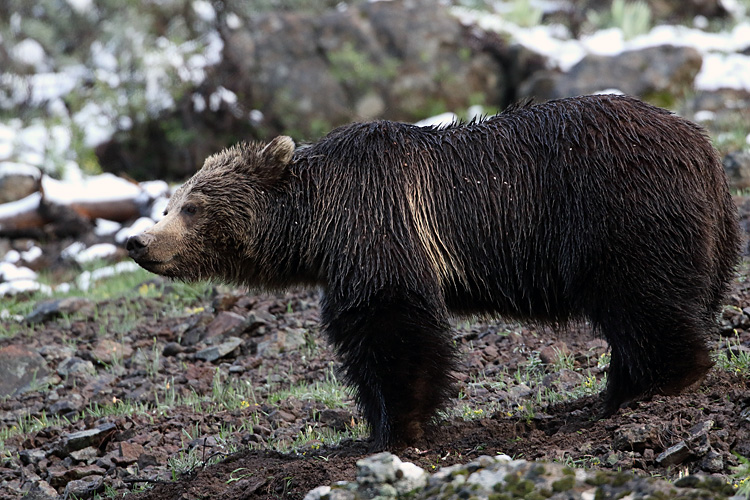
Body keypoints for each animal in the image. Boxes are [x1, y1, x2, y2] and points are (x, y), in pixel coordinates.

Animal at [126, 94, 744, 450]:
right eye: (172, 201)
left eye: (191, 205)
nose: (138, 241)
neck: (319, 223)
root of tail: (705, 147)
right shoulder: (348, 260)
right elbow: (360, 339)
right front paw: (373, 424)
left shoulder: (381, 228)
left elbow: (396, 329)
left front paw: (401, 427)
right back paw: (618, 390)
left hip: (618, 212)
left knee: (642, 300)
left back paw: (655, 386)